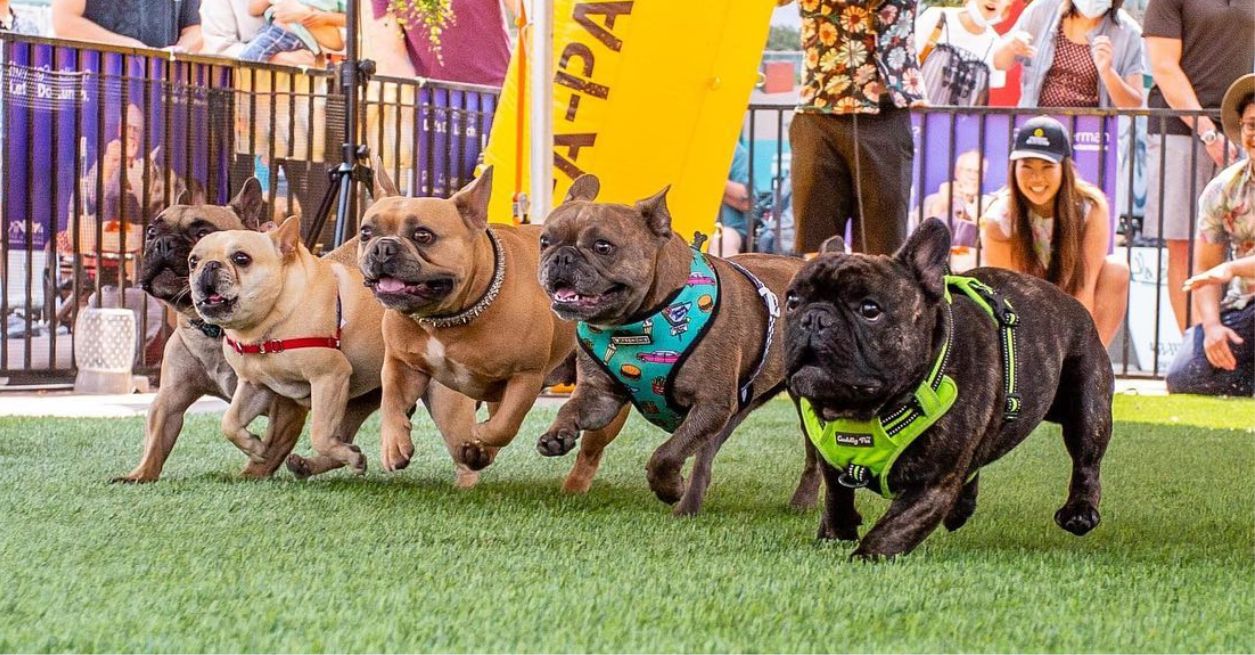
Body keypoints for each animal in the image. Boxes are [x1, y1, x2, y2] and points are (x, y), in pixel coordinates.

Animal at [358, 166, 627, 491]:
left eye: (423, 235)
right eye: (365, 232)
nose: (383, 247)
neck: (446, 318)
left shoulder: (525, 376)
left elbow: (505, 425)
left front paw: (482, 436)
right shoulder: (402, 365)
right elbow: (392, 402)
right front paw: (393, 445)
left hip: (603, 400)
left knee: (590, 451)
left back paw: (572, 484)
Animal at [534, 175, 821, 516]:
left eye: (602, 246)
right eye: (544, 241)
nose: (561, 256)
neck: (640, 320)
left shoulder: (710, 405)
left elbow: (667, 453)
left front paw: (668, 487)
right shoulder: (601, 396)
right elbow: (570, 406)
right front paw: (558, 434)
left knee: (814, 459)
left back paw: (803, 502)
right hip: (734, 412)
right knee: (705, 461)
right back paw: (690, 506)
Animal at [785, 218, 1113, 559]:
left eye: (869, 309)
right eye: (792, 301)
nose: (814, 317)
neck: (862, 412)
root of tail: (1068, 298)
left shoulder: (932, 484)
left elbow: (895, 526)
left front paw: (865, 556)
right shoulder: (831, 463)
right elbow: (836, 498)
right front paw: (836, 535)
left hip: (1087, 408)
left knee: (1087, 462)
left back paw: (1080, 512)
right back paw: (961, 509)